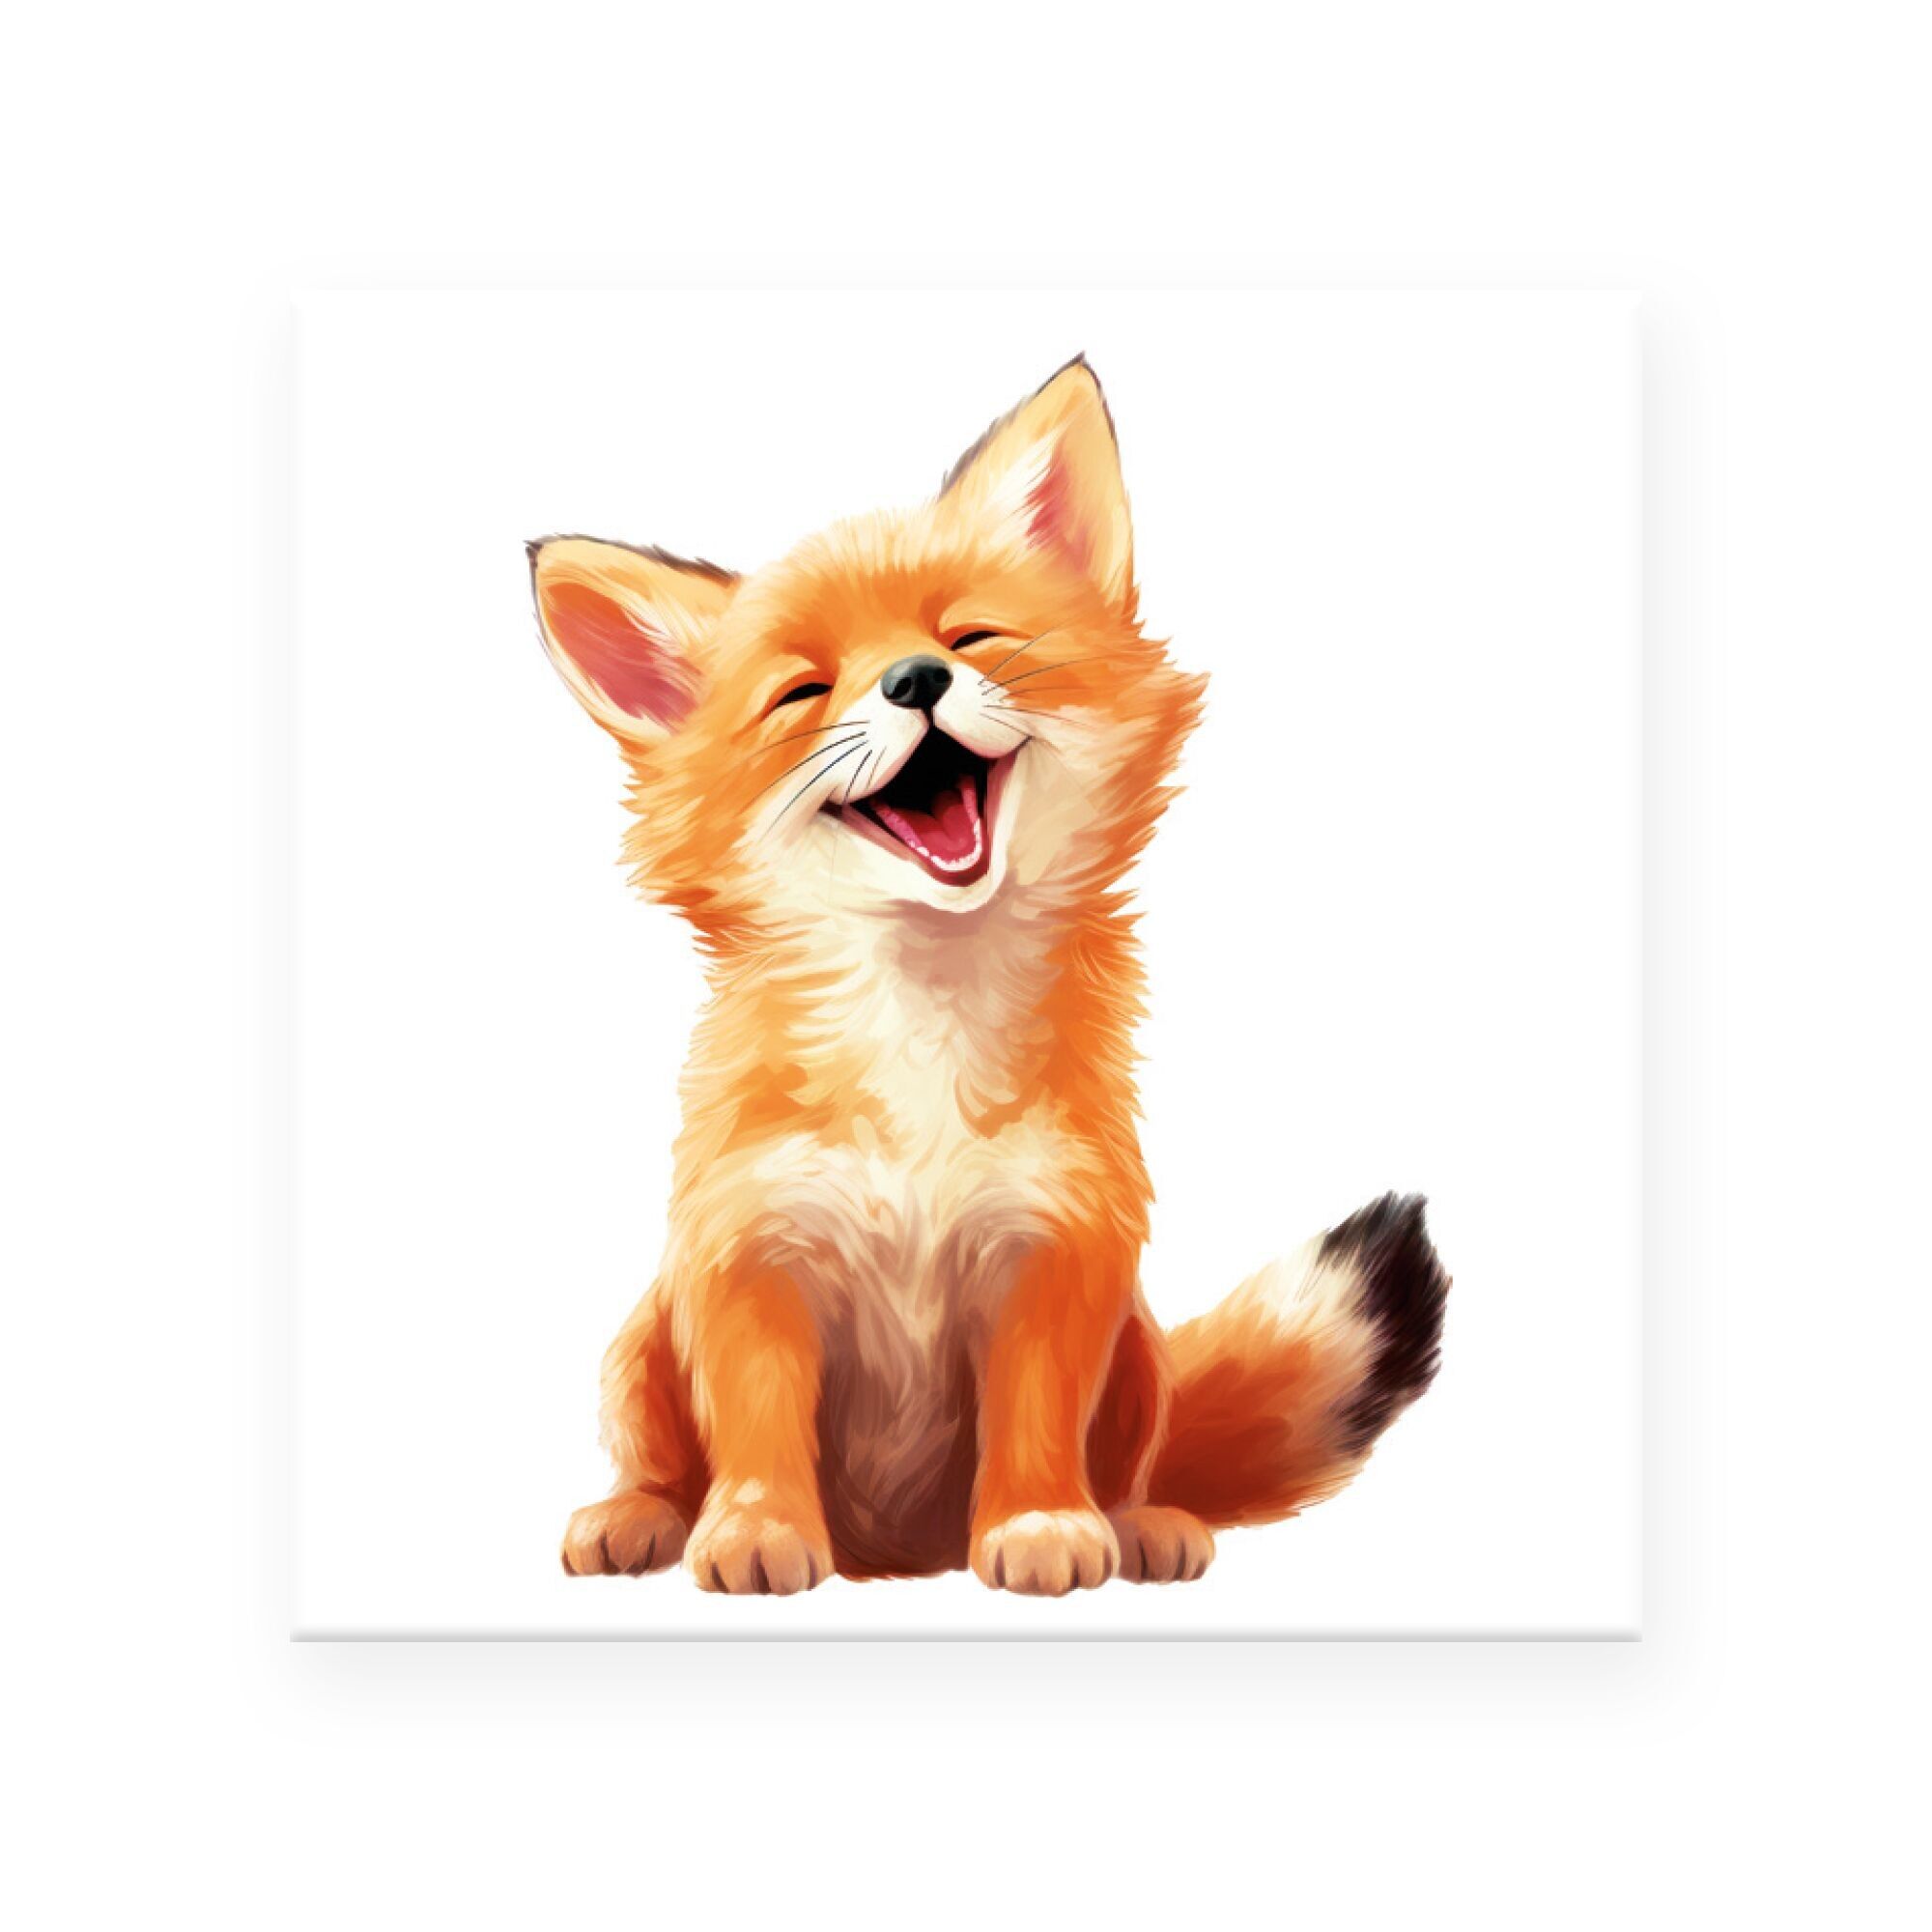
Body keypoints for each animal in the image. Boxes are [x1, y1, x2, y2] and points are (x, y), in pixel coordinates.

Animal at [533, 356, 1448, 1596]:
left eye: (968, 635)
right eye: (803, 692)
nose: (916, 679)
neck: (922, 1037)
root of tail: (893, 1556)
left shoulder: (1053, 1250)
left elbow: (1034, 1422)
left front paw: (1039, 1522)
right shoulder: (749, 1253)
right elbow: (759, 1424)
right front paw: (757, 1527)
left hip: (1135, 1351)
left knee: (1137, 1457)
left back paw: (1138, 1522)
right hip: (640, 1341)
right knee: (658, 1455)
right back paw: (642, 1513)